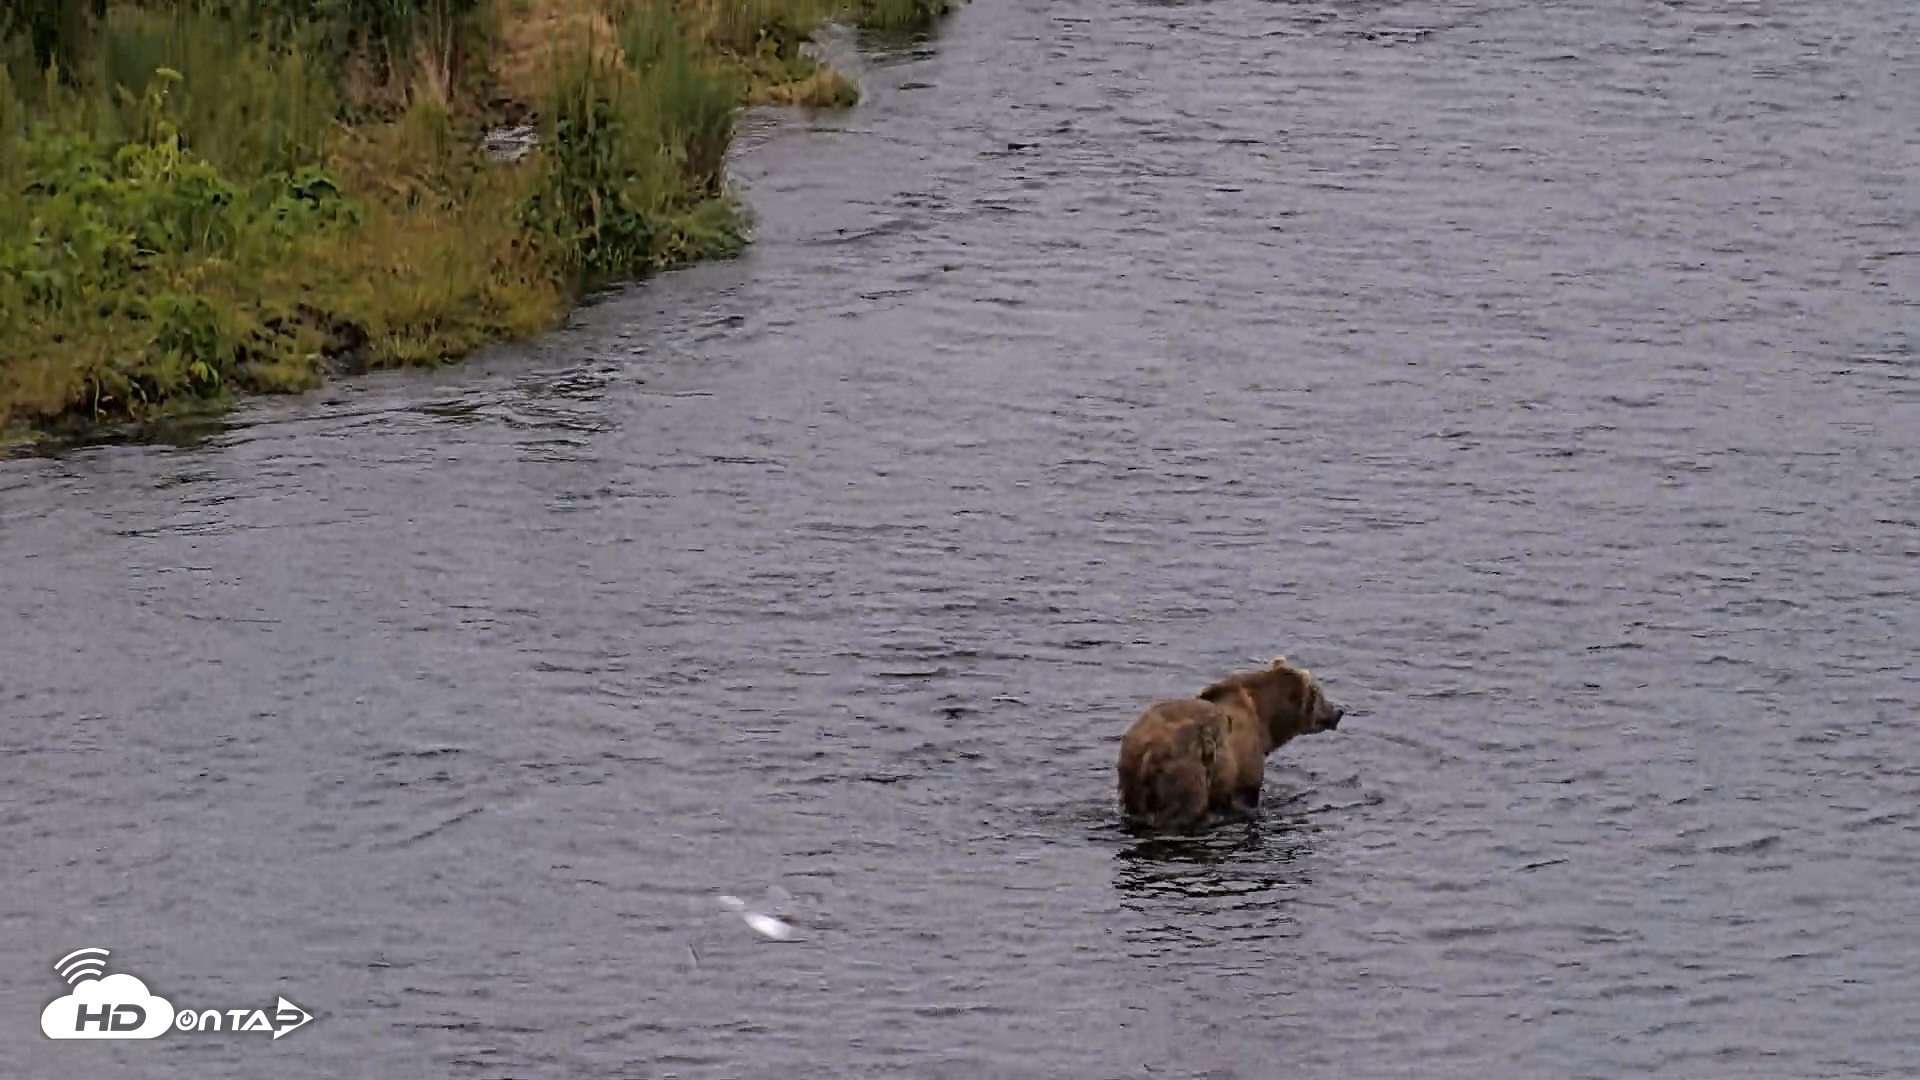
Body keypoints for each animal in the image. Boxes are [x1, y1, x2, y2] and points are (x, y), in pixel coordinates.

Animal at [1116, 656, 1345, 833]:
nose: (1339, 711)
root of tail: (1149, 751)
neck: (1265, 721)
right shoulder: (1244, 761)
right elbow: (1247, 793)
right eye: (1319, 693)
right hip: (1186, 770)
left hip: (1131, 774)